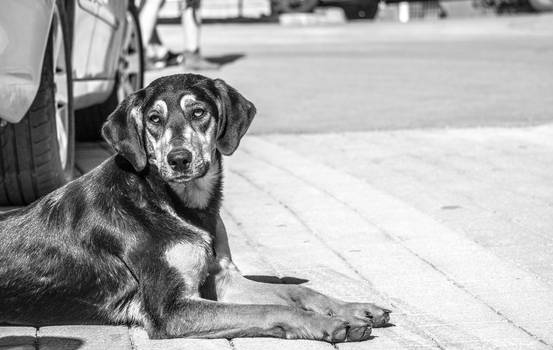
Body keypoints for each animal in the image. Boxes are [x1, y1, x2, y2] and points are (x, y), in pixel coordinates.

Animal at [0, 73, 388, 342]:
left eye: (198, 112)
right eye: (154, 119)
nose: (178, 159)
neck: (179, 205)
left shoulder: (224, 278)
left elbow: (296, 291)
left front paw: (354, 309)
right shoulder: (171, 309)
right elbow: (271, 307)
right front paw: (327, 323)